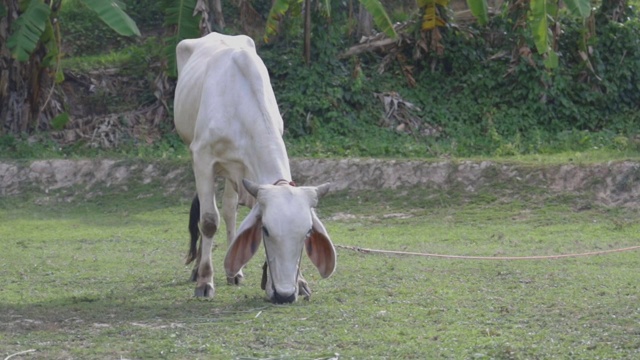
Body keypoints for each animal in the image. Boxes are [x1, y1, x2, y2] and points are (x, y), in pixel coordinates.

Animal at [172, 33, 338, 304]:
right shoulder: (203, 158)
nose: (284, 295)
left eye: (306, 233)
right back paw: (198, 271)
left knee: (229, 210)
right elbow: (208, 221)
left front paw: (301, 282)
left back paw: (235, 272)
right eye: (266, 231)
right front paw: (205, 281)